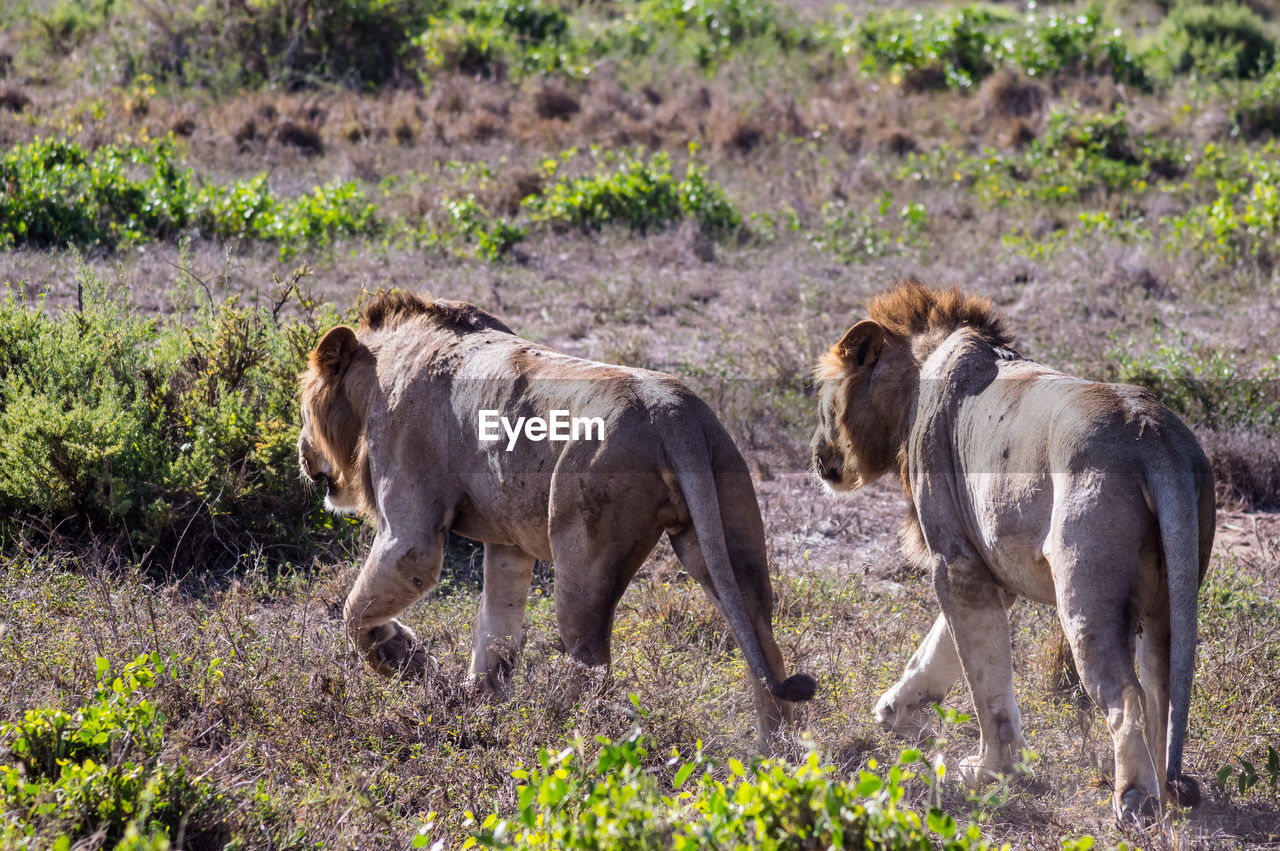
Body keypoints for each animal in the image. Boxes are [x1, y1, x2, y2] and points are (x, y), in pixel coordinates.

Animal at [299, 291, 814, 752]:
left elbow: (355, 611)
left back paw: (568, 739)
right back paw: (775, 753)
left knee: (592, 665)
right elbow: (497, 628)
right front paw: (474, 703)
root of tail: (672, 411)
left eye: (302, 411)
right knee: (761, 640)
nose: (302, 452)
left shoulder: (409, 534)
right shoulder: (509, 543)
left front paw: (404, 658)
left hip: (583, 557)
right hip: (728, 530)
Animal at [814, 280, 1213, 824]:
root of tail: (1152, 432)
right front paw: (896, 709)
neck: (914, 384)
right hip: (1169, 596)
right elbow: (936, 649)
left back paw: (1135, 798)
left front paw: (989, 771)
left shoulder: (957, 561)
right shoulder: (988, 567)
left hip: (1087, 597)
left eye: (820, 402)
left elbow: (985, 680)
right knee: (1162, 687)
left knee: (1125, 695)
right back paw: (1165, 789)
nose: (817, 457)